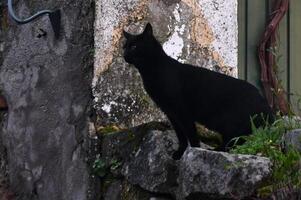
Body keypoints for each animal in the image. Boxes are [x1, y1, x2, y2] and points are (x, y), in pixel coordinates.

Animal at [122, 23, 274, 159]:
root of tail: (263, 101)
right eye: (124, 47)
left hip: (227, 122)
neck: (151, 71)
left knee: (239, 139)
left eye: (134, 46)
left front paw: (193, 153)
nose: (124, 55)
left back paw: (216, 150)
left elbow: (191, 134)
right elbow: (181, 136)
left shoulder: (182, 111)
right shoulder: (171, 113)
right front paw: (179, 153)